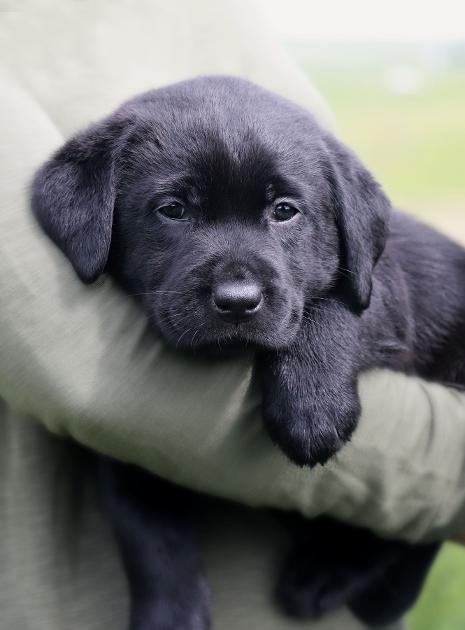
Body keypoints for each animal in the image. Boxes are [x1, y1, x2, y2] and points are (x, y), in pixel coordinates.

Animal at [30, 78, 462, 630]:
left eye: (284, 211)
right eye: (173, 209)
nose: (238, 300)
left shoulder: (378, 282)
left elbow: (336, 303)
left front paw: (312, 407)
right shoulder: (120, 449)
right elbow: (149, 536)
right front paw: (171, 616)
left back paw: (328, 574)